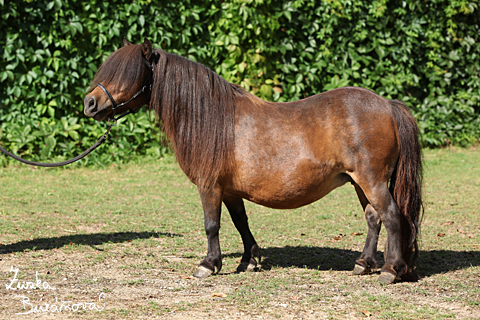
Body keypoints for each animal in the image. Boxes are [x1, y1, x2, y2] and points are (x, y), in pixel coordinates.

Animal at [84, 38, 422, 284]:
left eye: (125, 73)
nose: (89, 104)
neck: (212, 118)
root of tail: (388, 106)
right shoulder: (230, 190)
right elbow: (240, 222)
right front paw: (249, 260)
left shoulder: (209, 186)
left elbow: (212, 225)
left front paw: (209, 264)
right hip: (359, 182)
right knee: (373, 218)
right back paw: (364, 263)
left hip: (372, 180)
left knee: (392, 216)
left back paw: (390, 270)